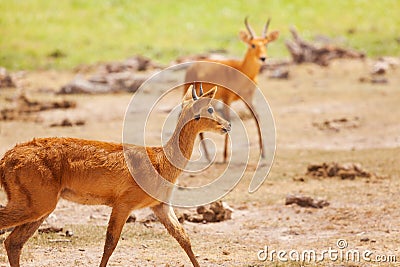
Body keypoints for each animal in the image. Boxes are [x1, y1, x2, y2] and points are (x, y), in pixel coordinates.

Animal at [0, 85, 230, 267]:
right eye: (210, 107)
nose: (227, 125)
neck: (161, 162)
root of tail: (5, 159)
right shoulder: (123, 203)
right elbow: (111, 242)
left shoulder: (161, 206)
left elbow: (184, 237)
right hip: (36, 203)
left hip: (41, 206)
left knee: (13, 242)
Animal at [184, 17, 278, 163]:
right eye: (252, 45)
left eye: (266, 44)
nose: (263, 58)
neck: (241, 70)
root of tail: (192, 67)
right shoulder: (227, 99)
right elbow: (228, 119)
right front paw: (224, 156)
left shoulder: (249, 98)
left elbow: (256, 117)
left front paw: (263, 154)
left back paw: (207, 155)